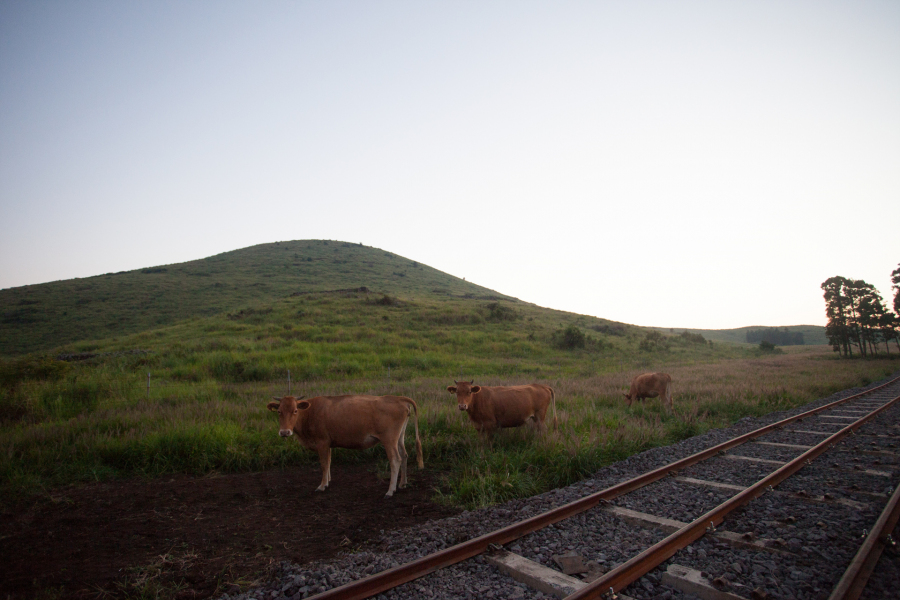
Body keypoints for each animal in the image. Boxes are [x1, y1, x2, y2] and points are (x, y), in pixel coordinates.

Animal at [266, 394, 424, 496]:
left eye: (295, 410)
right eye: (279, 411)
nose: (284, 432)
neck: (310, 412)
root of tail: (398, 398)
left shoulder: (322, 442)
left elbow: (324, 463)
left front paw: (322, 485)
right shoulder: (328, 444)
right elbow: (329, 462)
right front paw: (328, 480)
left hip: (389, 440)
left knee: (395, 460)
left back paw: (390, 490)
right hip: (399, 438)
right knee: (404, 455)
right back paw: (402, 483)